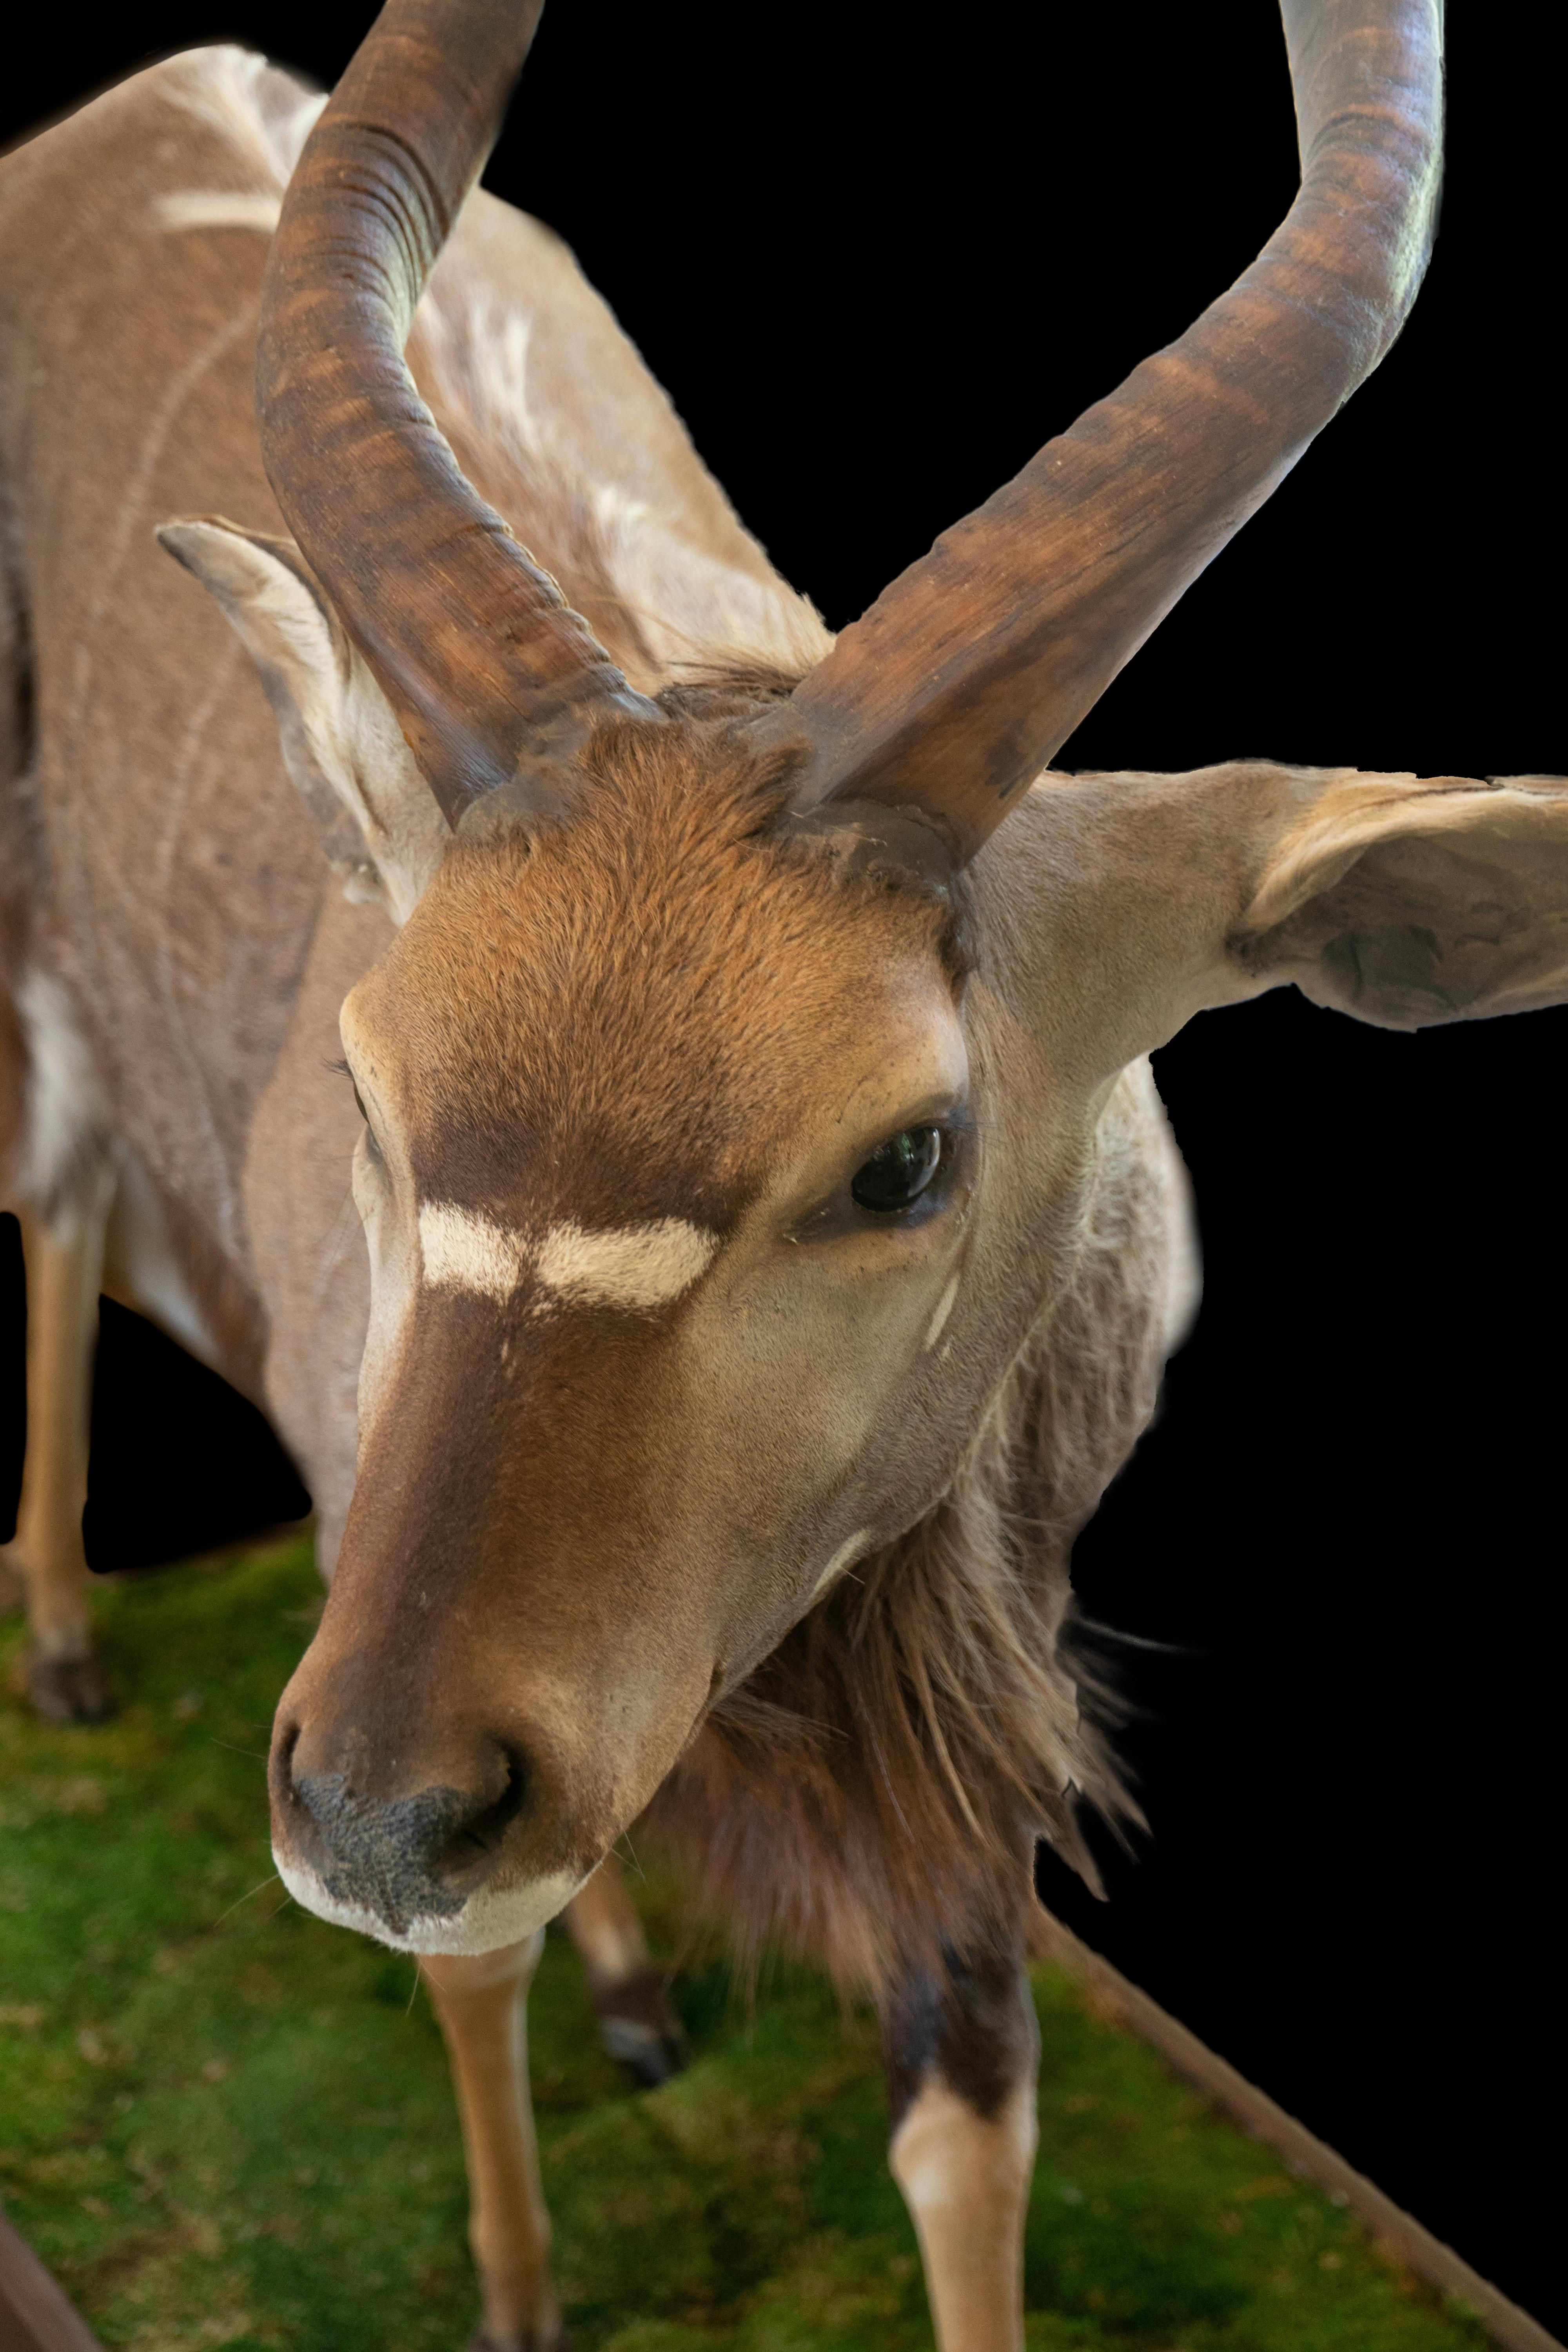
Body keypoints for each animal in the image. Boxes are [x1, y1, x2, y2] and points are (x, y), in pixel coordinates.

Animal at [0, 0, 1561, 2343]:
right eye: (370, 1079)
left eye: (905, 1154)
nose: (373, 1816)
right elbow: (474, 1970)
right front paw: (521, 2289)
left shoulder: (994, 1651)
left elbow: (969, 2103)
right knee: (62, 1188)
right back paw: (71, 1644)